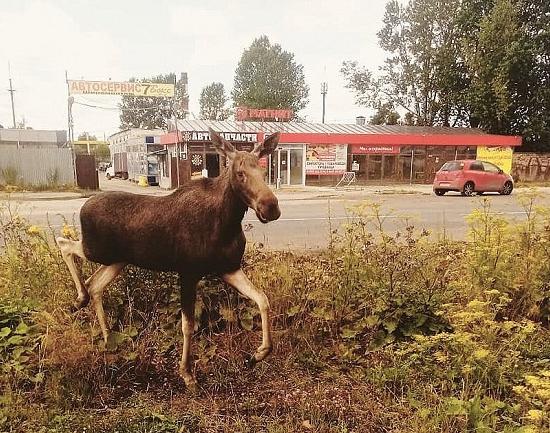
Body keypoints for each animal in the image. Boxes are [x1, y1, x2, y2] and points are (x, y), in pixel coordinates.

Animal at [57, 128, 282, 388]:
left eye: (265, 172)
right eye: (240, 173)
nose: (270, 207)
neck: (226, 223)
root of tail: (85, 204)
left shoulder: (229, 268)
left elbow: (263, 299)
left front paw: (258, 354)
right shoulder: (188, 272)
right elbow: (188, 325)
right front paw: (186, 373)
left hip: (117, 260)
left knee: (95, 285)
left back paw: (106, 336)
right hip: (97, 249)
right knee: (64, 244)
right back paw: (79, 299)